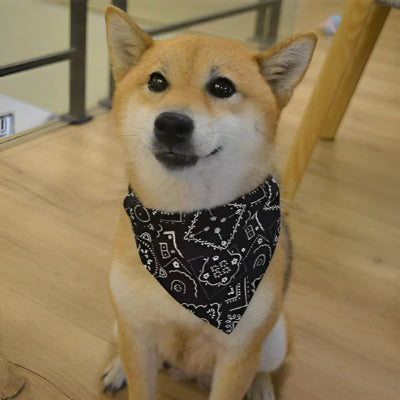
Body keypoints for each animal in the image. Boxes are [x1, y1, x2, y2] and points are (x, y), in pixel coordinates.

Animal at [102, 4, 316, 398]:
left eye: (222, 87)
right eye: (157, 82)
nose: (171, 124)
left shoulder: (238, 355)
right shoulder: (137, 332)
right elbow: (140, 379)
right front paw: (124, 371)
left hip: (275, 338)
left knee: (265, 367)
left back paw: (261, 387)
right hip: (119, 323)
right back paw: (116, 368)